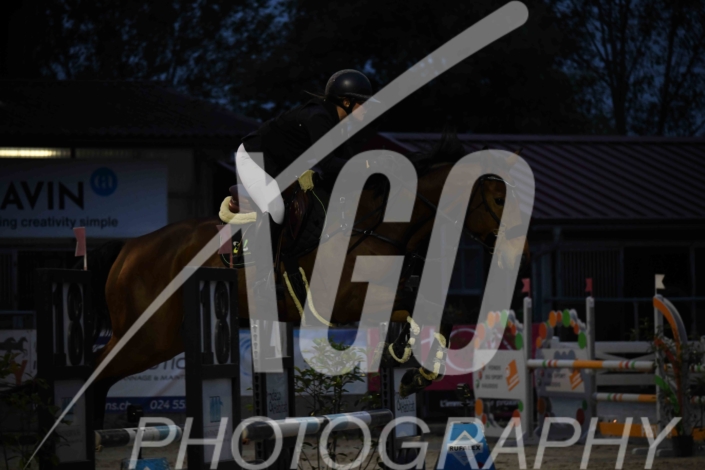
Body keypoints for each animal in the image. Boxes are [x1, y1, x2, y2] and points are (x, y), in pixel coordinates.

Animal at [87, 133, 530, 428]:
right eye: (497, 199)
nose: (519, 259)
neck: (380, 225)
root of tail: (131, 248)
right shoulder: (342, 303)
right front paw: (413, 364)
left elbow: (432, 311)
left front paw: (416, 372)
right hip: (148, 337)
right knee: (97, 371)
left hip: (167, 338)